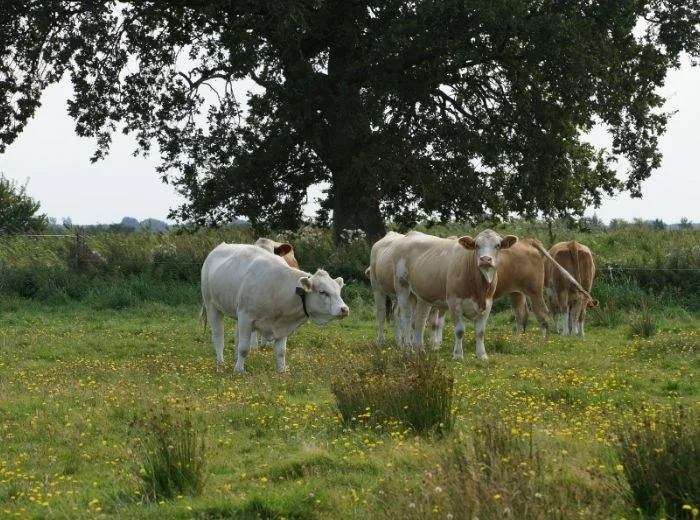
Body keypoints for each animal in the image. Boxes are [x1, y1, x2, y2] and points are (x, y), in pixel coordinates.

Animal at [200, 243, 349, 372]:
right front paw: (238, 370)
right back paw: (221, 364)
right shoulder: (246, 317)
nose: (344, 309)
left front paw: (282, 371)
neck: (278, 289)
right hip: (212, 306)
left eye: (338, 291)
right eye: (323, 292)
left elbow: (281, 352)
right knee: (219, 337)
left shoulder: (282, 325)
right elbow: (244, 348)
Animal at [393, 229, 518, 360]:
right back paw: (408, 350)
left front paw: (482, 355)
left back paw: (420, 350)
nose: (485, 259)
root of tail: (411, 233)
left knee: (419, 320)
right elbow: (459, 330)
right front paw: (458, 355)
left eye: (497, 245)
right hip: (402, 285)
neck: (479, 290)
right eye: (476, 245)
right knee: (406, 317)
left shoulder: (487, 304)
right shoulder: (454, 302)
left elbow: (480, 332)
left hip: (423, 294)